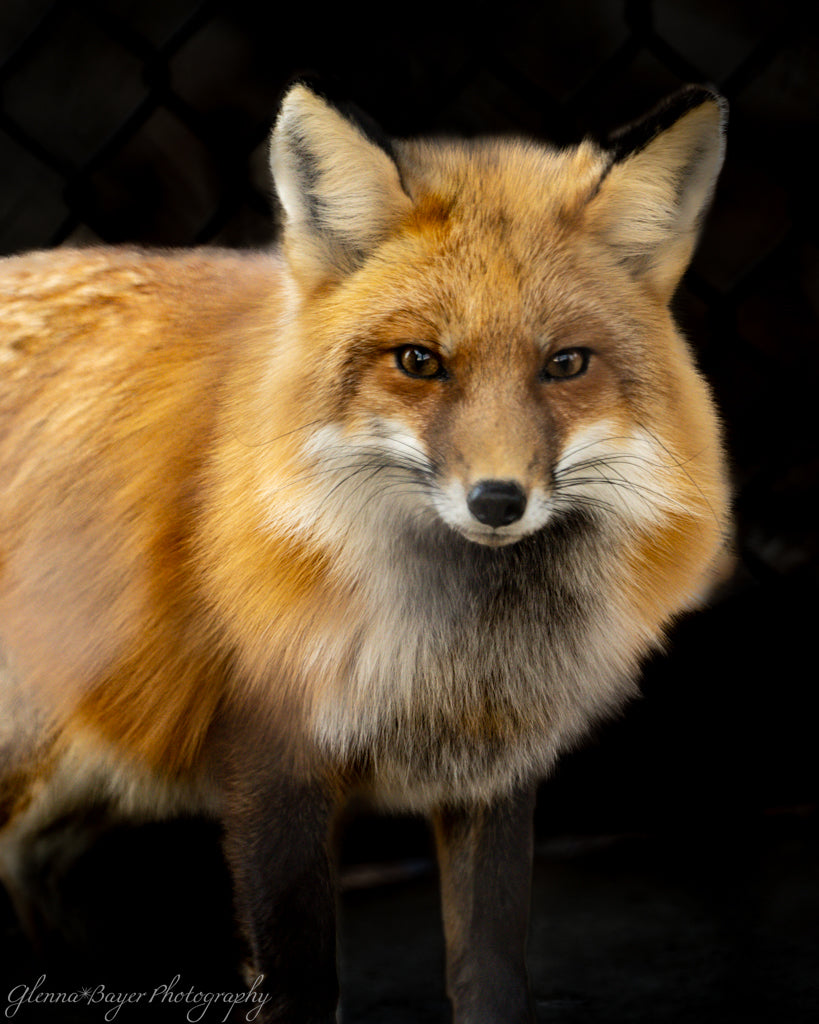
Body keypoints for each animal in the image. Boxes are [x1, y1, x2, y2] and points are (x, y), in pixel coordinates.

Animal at [0, 81, 731, 1022]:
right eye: (418, 361)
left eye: (566, 364)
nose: (497, 501)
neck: (449, 659)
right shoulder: (272, 767)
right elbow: (302, 984)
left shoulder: (491, 772)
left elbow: (489, 975)